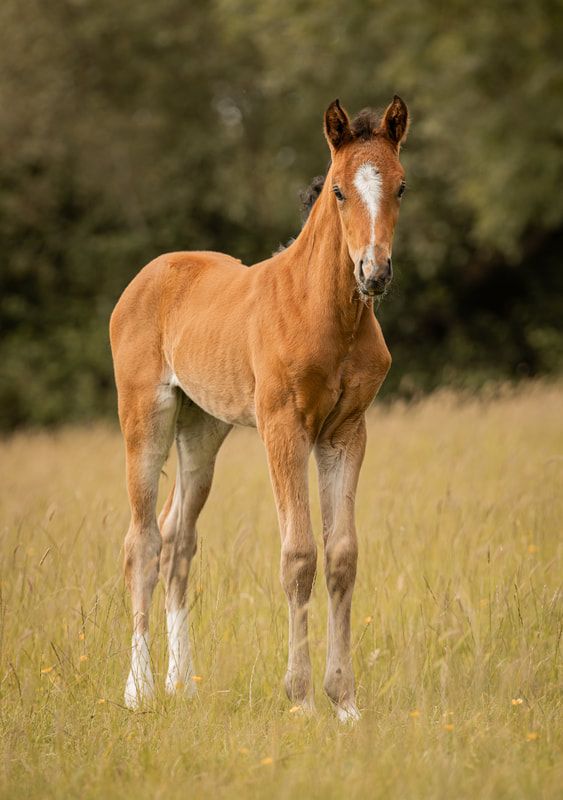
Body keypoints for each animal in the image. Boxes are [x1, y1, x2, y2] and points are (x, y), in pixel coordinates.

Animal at [110, 96, 409, 721]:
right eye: (338, 190)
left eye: (401, 186)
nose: (374, 274)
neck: (325, 312)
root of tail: (149, 273)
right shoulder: (283, 428)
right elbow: (298, 555)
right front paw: (300, 700)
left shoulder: (346, 433)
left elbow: (341, 556)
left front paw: (345, 702)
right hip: (145, 420)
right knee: (142, 542)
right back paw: (139, 689)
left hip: (202, 431)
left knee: (178, 542)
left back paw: (182, 683)